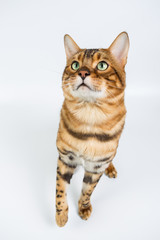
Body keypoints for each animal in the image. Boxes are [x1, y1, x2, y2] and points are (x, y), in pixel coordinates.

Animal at [55, 32, 129, 227]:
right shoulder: (65, 158)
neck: (89, 117)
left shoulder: (96, 167)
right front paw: (61, 215)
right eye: (75, 65)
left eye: (102, 65)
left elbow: (88, 190)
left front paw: (84, 207)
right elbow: (60, 190)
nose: (82, 72)